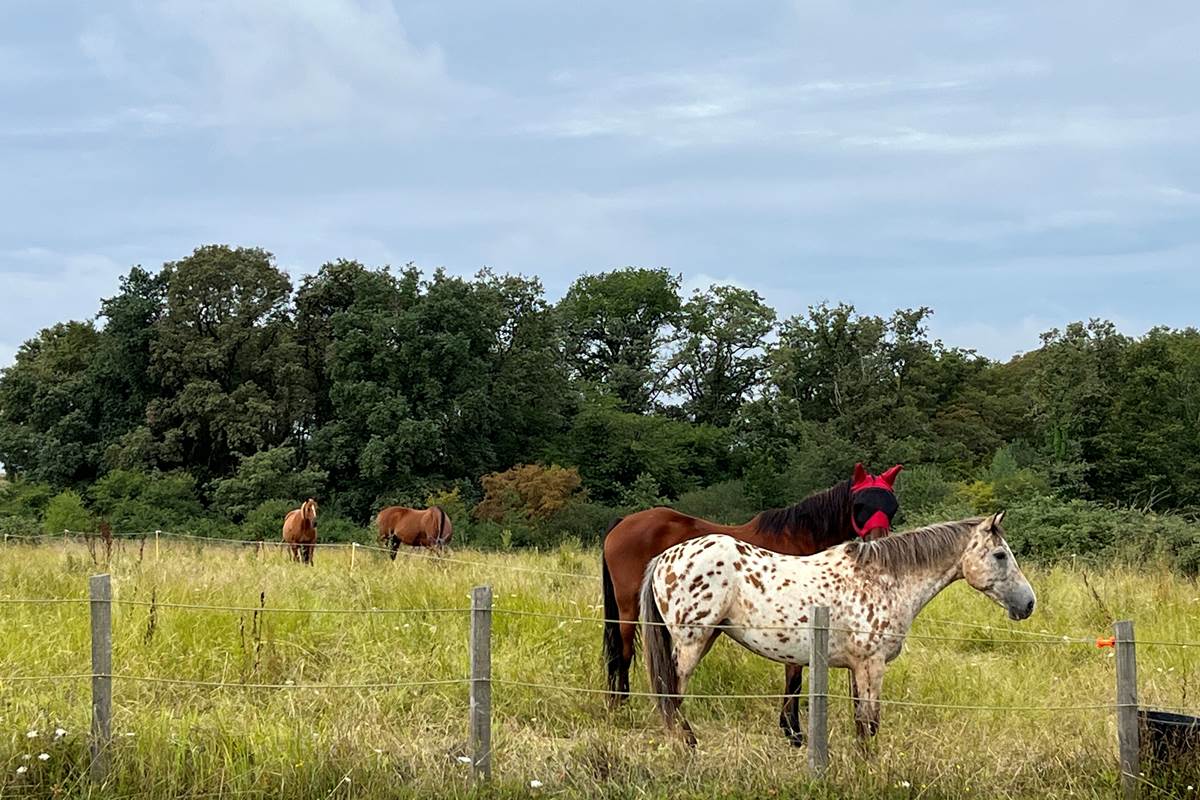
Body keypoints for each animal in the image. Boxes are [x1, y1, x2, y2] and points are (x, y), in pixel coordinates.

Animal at [600, 462, 902, 743]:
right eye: (860, 504)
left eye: (892, 506)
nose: (878, 542)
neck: (799, 537)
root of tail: (623, 522)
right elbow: (794, 676)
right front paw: (793, 732)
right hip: (629, 610)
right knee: (623, 654)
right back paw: (621, 706)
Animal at [643, 515, 1036, 748]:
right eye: (1000, 555)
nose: (1028, 603)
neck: (883, 579)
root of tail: (664, 558)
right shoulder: (871, 665)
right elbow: (871, 723)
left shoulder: (855, 668)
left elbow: (860, 723)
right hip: (691, 642)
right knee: (671, 694)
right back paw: (686, 745)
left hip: (705, 638)